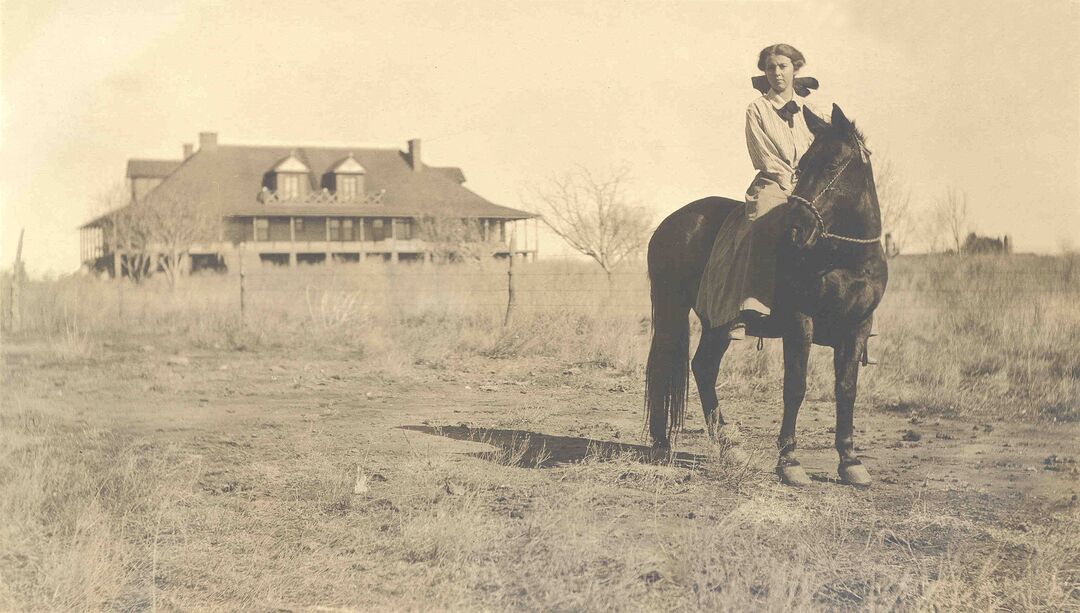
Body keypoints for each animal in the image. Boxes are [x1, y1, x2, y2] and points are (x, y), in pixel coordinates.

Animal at [648, 106, 885, 487]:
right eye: (802, 167)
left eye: (832, 165)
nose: (796, 229)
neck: (844, 258)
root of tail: (668, 224)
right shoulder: (800, 322)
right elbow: (795, 387)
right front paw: (789, 462)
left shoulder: (859, 327)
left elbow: (846, 389)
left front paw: (850, 461)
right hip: (673, 311)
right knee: (666, 365)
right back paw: (660, 445)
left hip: (717, 324)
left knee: (703, 368)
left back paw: (730, 447)